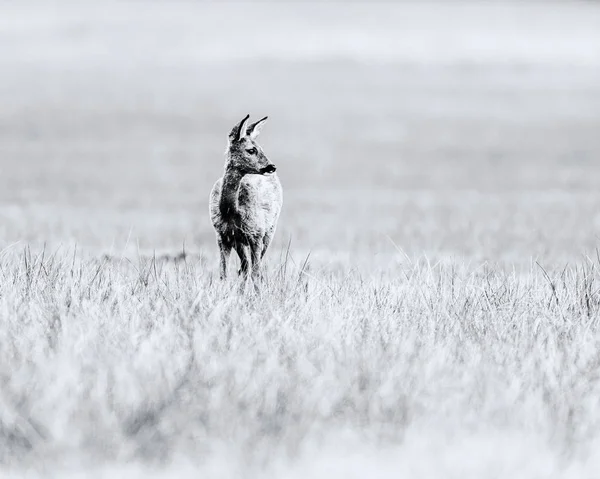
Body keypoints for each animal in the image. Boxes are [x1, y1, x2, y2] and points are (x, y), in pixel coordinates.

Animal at [209, 114, 284, 284]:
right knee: (244, 267)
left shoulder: (256, 234)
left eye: (261, 148)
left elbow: (256, 273)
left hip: (269, 231)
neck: (231, 211)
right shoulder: (223, 236)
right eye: (251, 150)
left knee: (253, 267)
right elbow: (223, 274)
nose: (271, 167)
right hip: (240, 242)